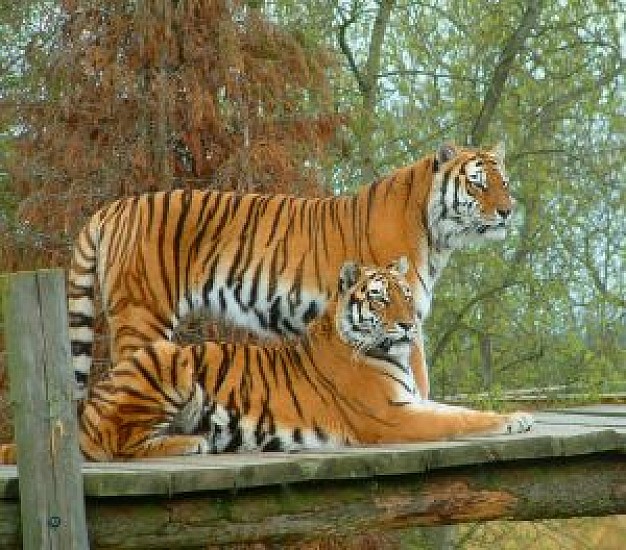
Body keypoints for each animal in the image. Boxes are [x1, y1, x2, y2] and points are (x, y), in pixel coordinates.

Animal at [0, 260, 532, 466]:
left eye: (405, 294)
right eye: (380, 299)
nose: (408, 325)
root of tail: (90, 404)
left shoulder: (411, 400)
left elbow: (456, 408)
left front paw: (515, 415)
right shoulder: (393, 417)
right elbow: (461, 418)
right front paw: (516, 420)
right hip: (167, 362)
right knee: (113, 446)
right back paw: (191, 444)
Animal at [69, 142, 512, 402]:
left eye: (503, 182)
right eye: (477, 184)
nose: (509, 211)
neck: (436, 236)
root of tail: (114, 207)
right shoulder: (403, 317)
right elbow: (418, 377)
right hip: (142, 313)